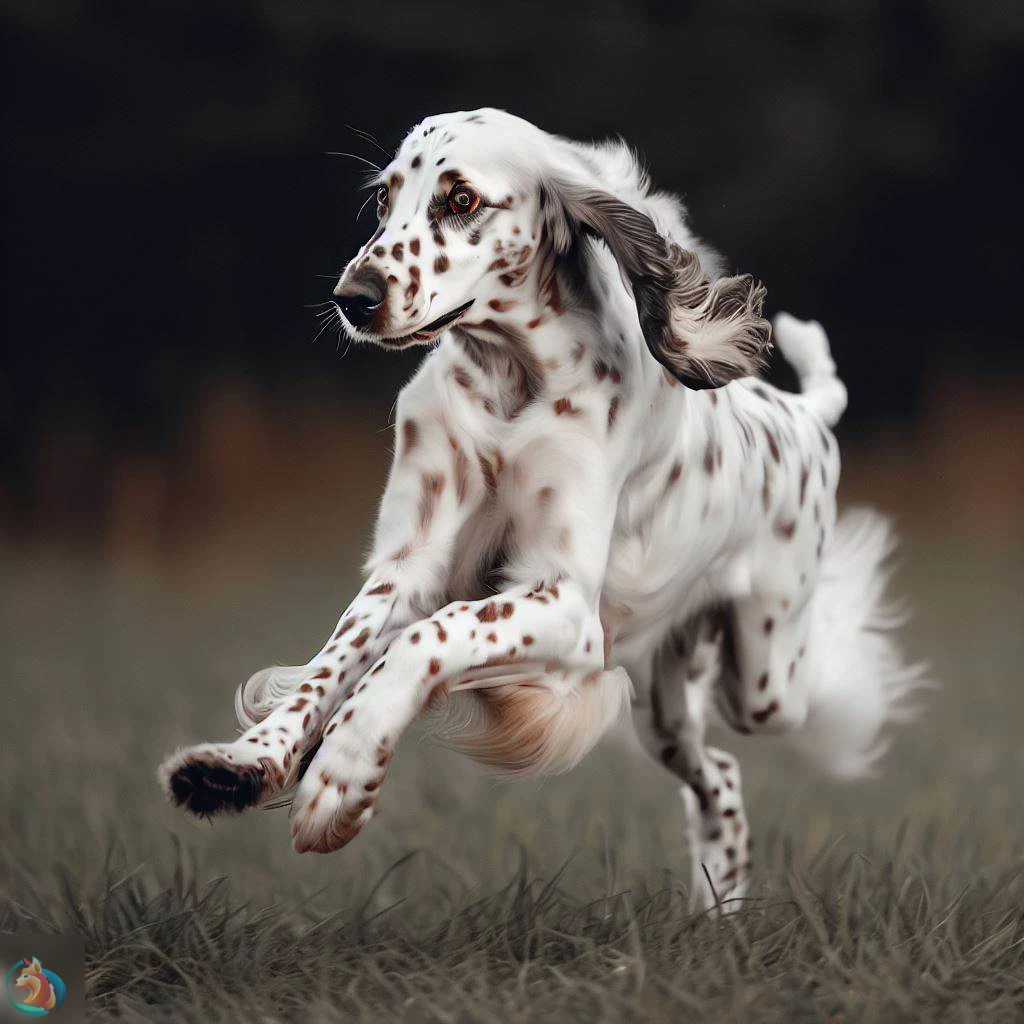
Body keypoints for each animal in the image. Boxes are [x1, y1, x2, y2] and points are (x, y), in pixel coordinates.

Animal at [159, 110, 929, 913]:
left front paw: (340, 775)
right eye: (383, 201)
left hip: (765, 681)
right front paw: (239, 766)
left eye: (461, 199)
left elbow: (427, 638)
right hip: (665, 706)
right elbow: (331, 664)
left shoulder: (564, 604)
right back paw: (715, 908)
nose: (353, 297)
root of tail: (806, 415)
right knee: (717, 774)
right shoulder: (409, 566)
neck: (511, 384)